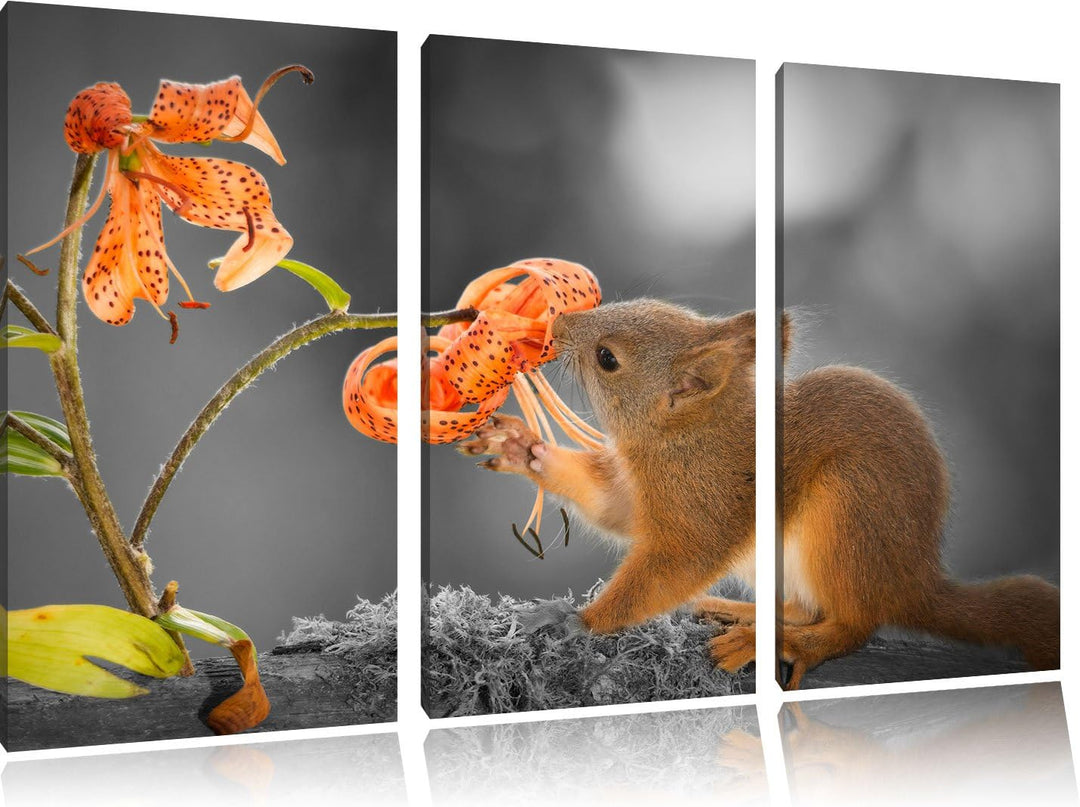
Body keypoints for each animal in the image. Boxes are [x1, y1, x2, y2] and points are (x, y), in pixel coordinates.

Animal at [459, 299, 1060, 689]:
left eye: (608, 358)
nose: (556, 323)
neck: (685, 436)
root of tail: (913, 582)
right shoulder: (641, 495)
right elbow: (614, 510)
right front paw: (523, 448)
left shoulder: (704, 504)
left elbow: (675, 565)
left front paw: (574, 620)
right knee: (801, 606)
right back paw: (737, 612)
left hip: (849, 512)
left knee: (851, 625)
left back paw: (778, 641)